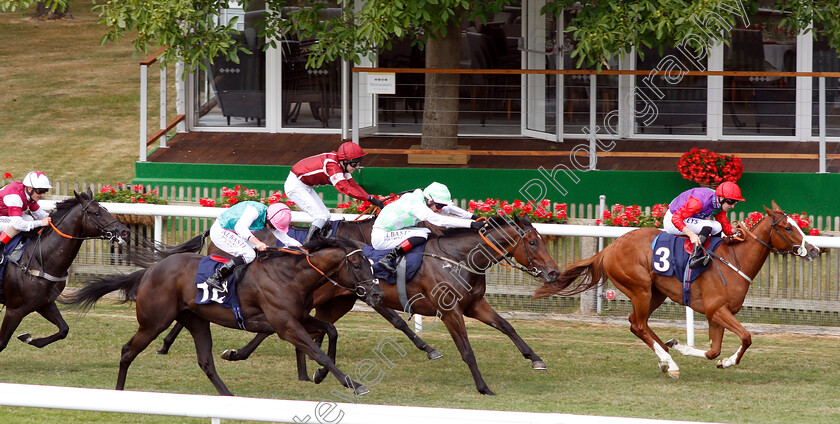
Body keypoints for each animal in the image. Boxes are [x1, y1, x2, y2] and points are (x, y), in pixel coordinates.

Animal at [0, 190, 130, 352]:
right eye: (96, 212)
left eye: (106, 209)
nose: (125, 232)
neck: (37, 259)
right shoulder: (14, 309)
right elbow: (1, 343)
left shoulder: (44, 303)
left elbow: (64, 329)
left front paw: (30, 339)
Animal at [64, 237, 386, 396]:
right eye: (357, 265)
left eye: (370, 264)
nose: (377, 295)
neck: (290, 276)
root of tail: (150, 271)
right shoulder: (286, 325)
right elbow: (318, 351)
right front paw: (353, 384)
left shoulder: (298, 318)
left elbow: (331, 330)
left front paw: (320, 376)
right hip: (154, 321)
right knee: (128, 350)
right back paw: (119, 394)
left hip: (196, 320)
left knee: (205, 361)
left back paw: (229, 397)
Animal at [536, 202, 816, 378]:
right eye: (788, 227)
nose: (813, 250)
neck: (734, 261)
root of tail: (608, 249)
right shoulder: (717, 309)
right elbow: (746, 337)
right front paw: (726, 361)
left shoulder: (716, 314)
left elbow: (714, 351)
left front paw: (698, 351)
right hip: (640, 289)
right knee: (639, 325)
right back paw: (669, 363)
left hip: (655, 293)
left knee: (636, 323)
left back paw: (666, 354)